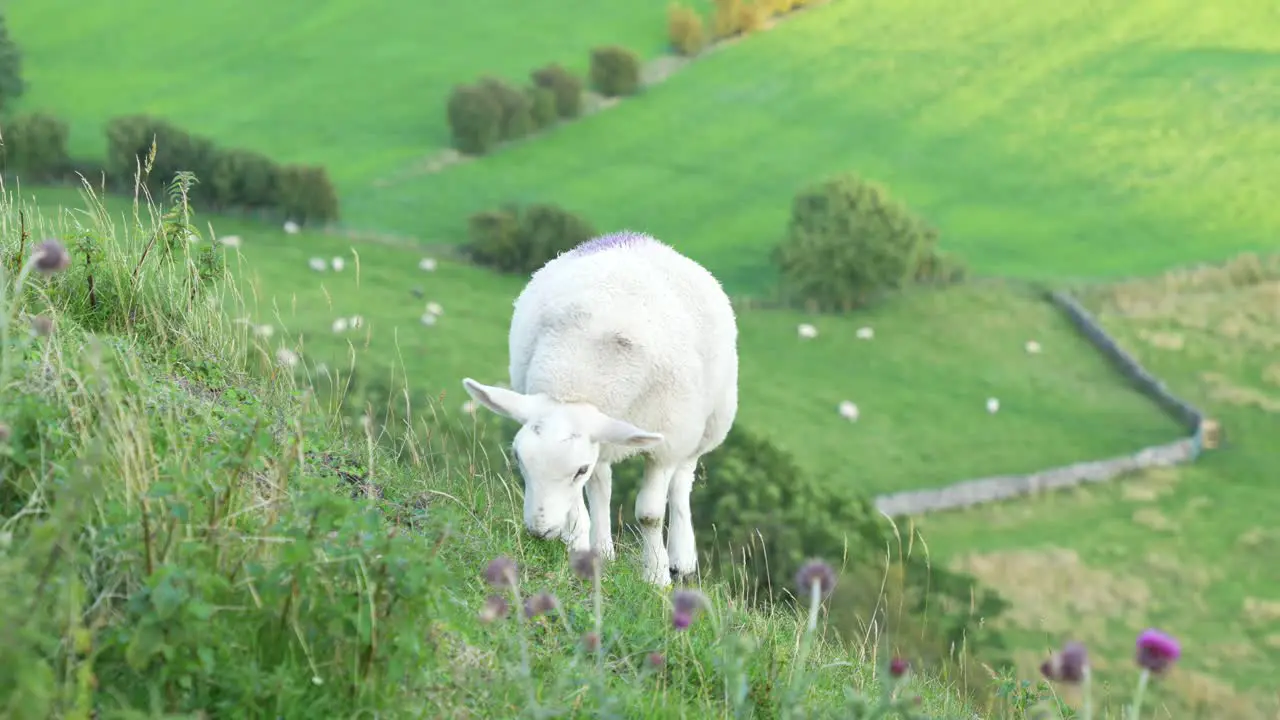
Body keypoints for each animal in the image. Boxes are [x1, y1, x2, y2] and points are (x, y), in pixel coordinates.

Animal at [463, 229, 742, 584]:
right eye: (518, 459)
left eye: (578, 469)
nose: (540, 532)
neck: (572, 384)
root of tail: (637, 238)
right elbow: (580, 504)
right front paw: (581, 550)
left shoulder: (666, 443)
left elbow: (650, 514)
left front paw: (657, 578)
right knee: (604, 484)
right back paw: (603, 548)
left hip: (709, 421)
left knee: (683, 478)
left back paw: (681, 558)